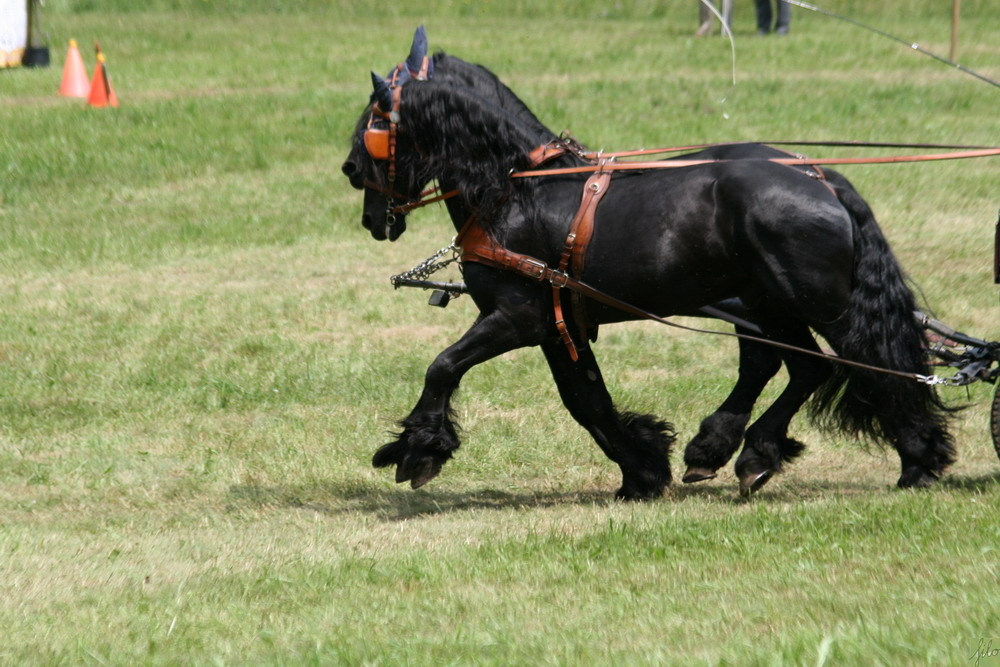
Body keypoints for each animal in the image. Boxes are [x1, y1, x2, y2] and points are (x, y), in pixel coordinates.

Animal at [342, 31, 952, 500]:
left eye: (375, 120)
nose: (356, 184)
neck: (517, 188)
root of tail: (819, 177)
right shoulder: (558, 325)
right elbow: (587, 400)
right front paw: (642, 471)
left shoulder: (518, 317)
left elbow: (443, 366)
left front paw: (418, 451)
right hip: (767, 302)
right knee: (797, 366)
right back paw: (738, 450)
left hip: (818, 304)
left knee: (865, 363)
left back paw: (913, 460)